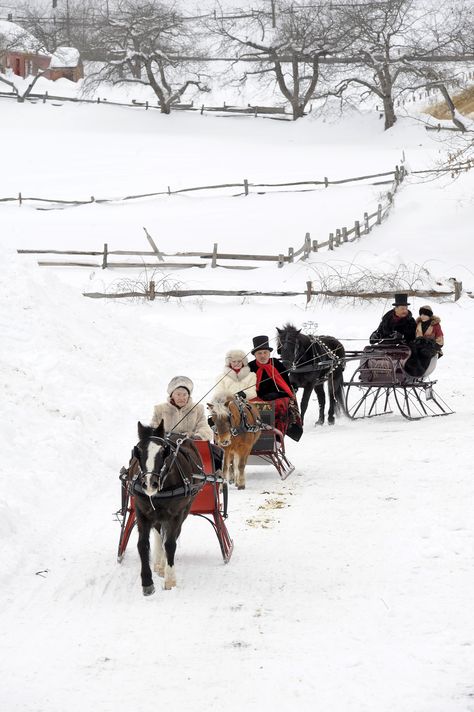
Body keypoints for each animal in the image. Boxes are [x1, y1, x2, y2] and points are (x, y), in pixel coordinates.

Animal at [131, 422, 203, 596]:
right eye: (138, 451)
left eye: (164, 451)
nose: (150, 483)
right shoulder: (142, 512)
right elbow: (142, 545)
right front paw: (147, 582)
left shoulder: (176, 514)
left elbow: (170, 544)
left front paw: (170, 580)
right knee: (158, 532)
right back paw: (159, 564)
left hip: (184, 510)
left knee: (171, 537)